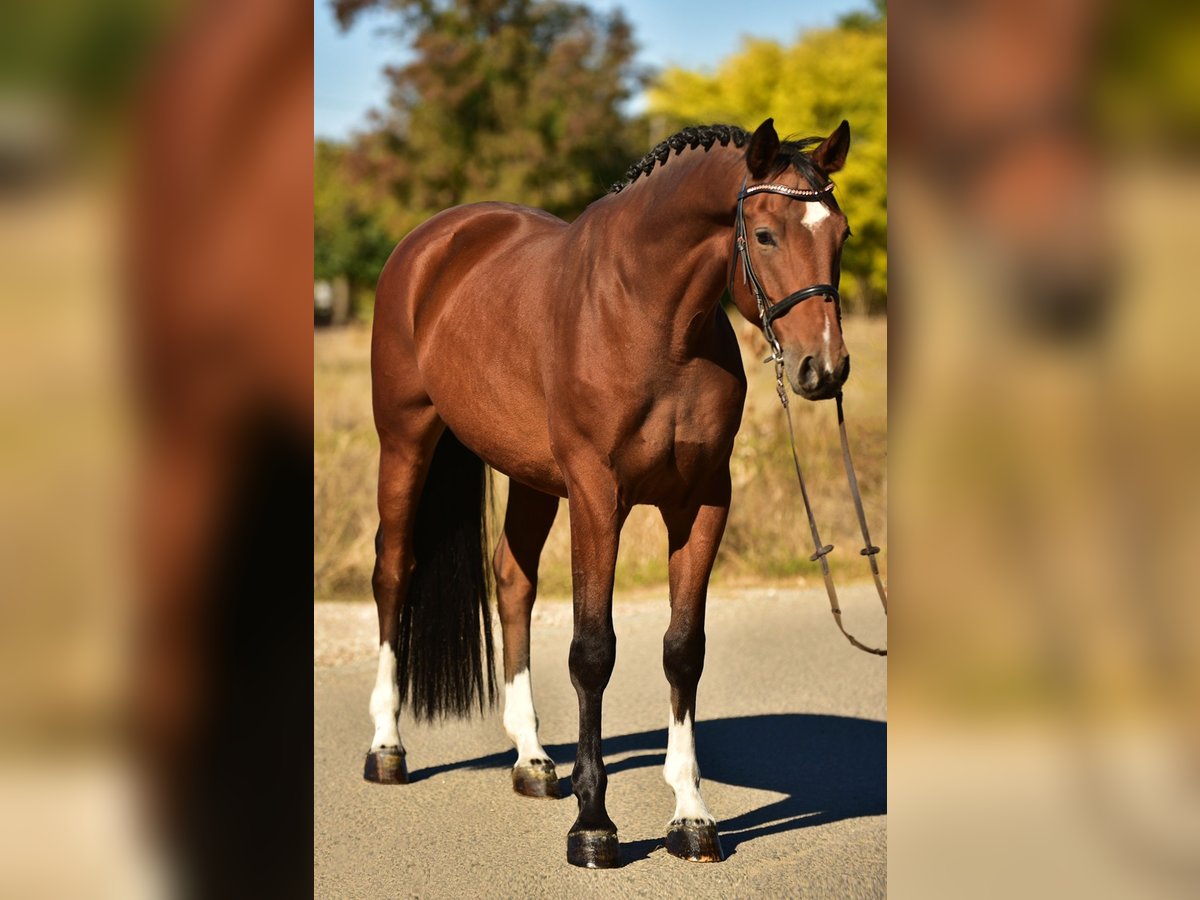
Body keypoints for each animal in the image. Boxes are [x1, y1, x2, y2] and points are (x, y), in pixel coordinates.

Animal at [364, 118, 854, 868]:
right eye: (767, 235)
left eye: (844, 234)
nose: (823, 369)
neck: (652, 321)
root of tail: (434, 240)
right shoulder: (598, 496)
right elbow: (593, 651)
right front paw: (592, 825)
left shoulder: (703, 502)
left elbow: (683, 649)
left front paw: (691, 815)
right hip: (406, 439)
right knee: (394, 570)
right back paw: (387, 747)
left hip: (530, 475)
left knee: (512, 580)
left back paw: (534, 760)